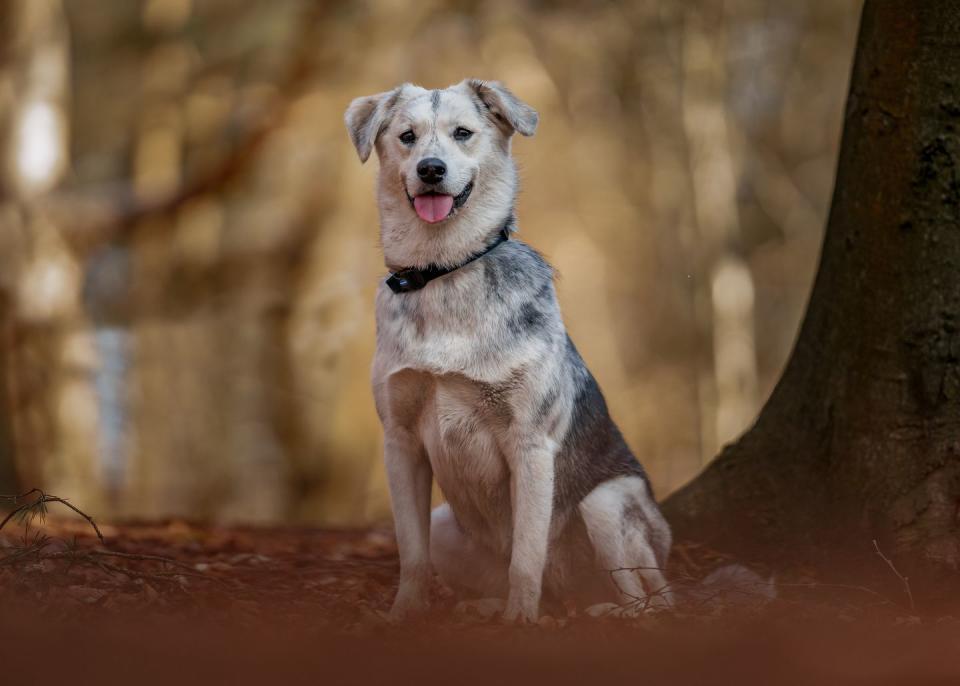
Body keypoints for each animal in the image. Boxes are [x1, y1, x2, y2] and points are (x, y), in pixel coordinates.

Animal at [346, 79, 676, 624]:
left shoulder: (530, 442)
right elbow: (411, 552)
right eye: (406, 136)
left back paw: (605, 611)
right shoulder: (400, 440)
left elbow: (527, 553)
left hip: (607, 504)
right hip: (447, 523)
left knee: (652, 596)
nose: (430, 169)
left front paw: (521, 621)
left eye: (463, 133)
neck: (444, 272)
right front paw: (404, 613)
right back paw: (486, 605)